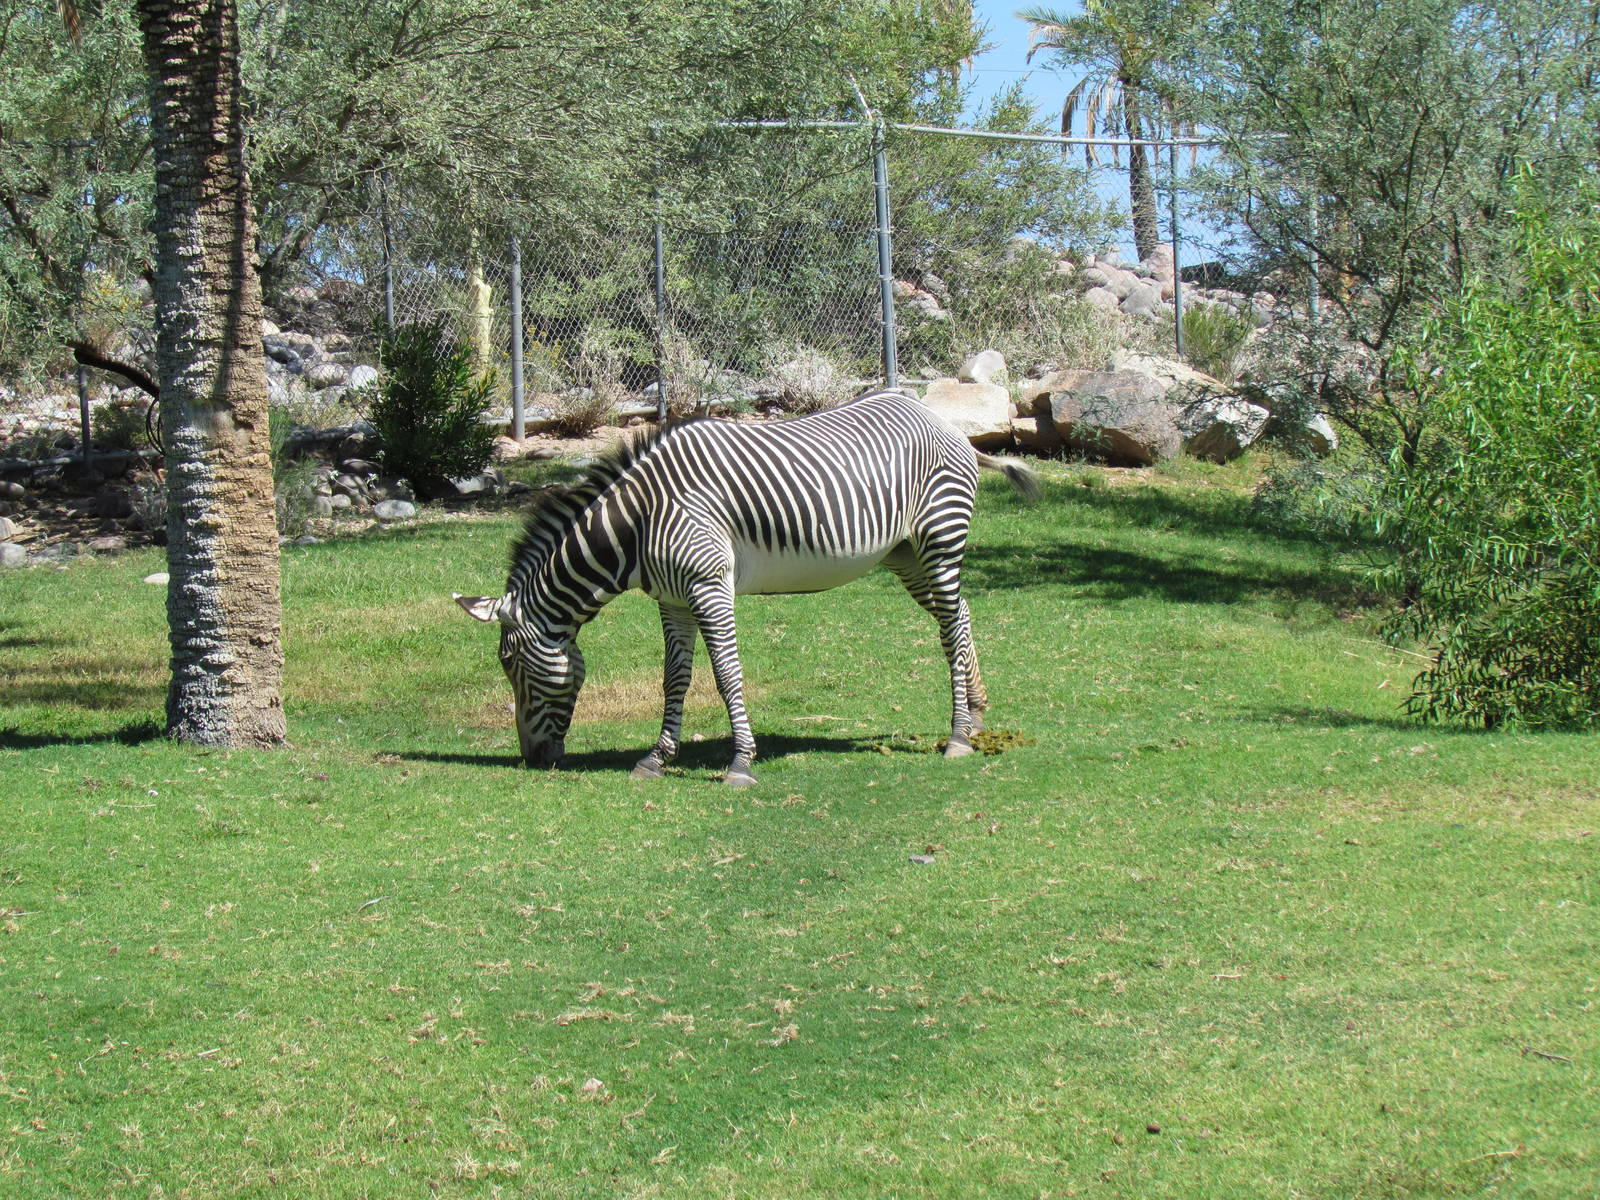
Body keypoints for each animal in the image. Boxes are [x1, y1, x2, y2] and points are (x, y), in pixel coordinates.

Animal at [455, 388, 1040, 786]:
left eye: (510, 665)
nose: (533, 760)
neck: (641, 520)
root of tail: (941, 418)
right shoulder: (671, 599)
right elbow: (675, 679)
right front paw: (657, 758)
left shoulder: (709, 586)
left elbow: (726, 675)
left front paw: (740, 762)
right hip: (907, 554)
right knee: (957, 617)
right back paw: (977, 712)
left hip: (940, 536)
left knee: (950, 627)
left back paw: (958, 736)